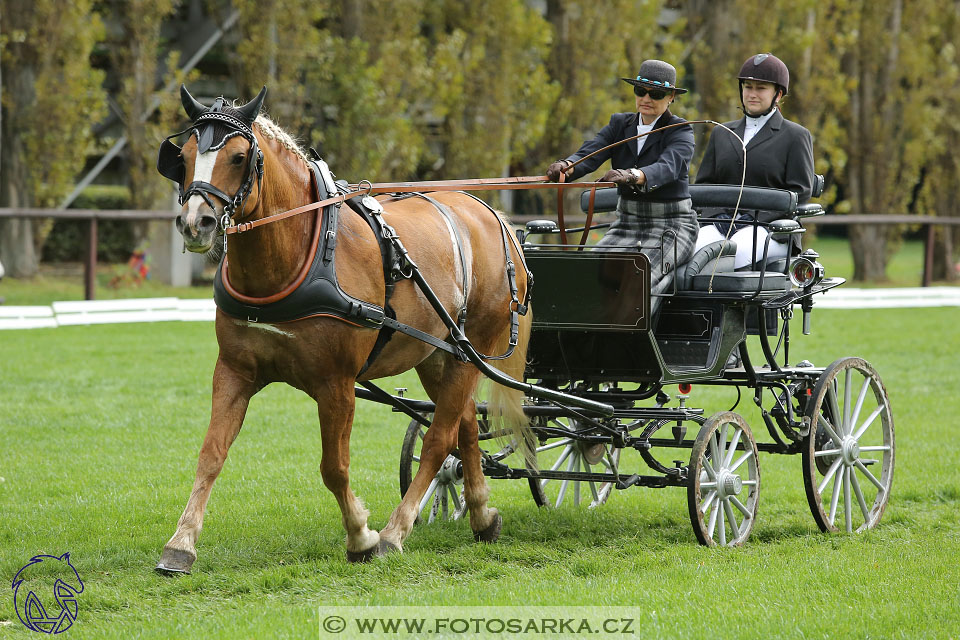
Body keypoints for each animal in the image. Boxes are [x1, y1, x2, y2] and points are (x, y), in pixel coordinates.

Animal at [157, 86, 532, 568]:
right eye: (183, 157)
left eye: (239, 157)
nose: (195, 223)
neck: (300, 250)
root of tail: (492, 214)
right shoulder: (235, 371)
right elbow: (211, 454)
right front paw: (181, 543)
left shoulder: (335, 384)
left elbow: (334, 467)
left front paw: (361, 536)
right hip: (440, 354)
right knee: (464, 425)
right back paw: (482, 515)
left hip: (475, 350)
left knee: (439, 437)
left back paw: (396, 531)